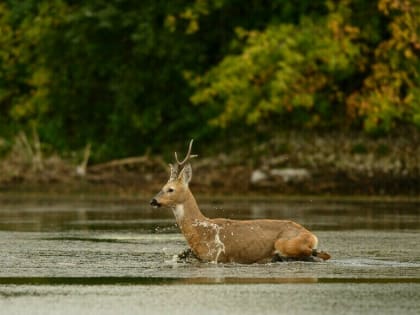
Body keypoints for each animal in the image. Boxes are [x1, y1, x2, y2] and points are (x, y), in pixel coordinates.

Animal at [149, 141, 330, 264]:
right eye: (162, 187)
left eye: (170, 189)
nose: (153, 201)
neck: (201, 230)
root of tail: (311, 235)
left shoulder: (215, 255)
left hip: (286, 242)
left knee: (316, 255)